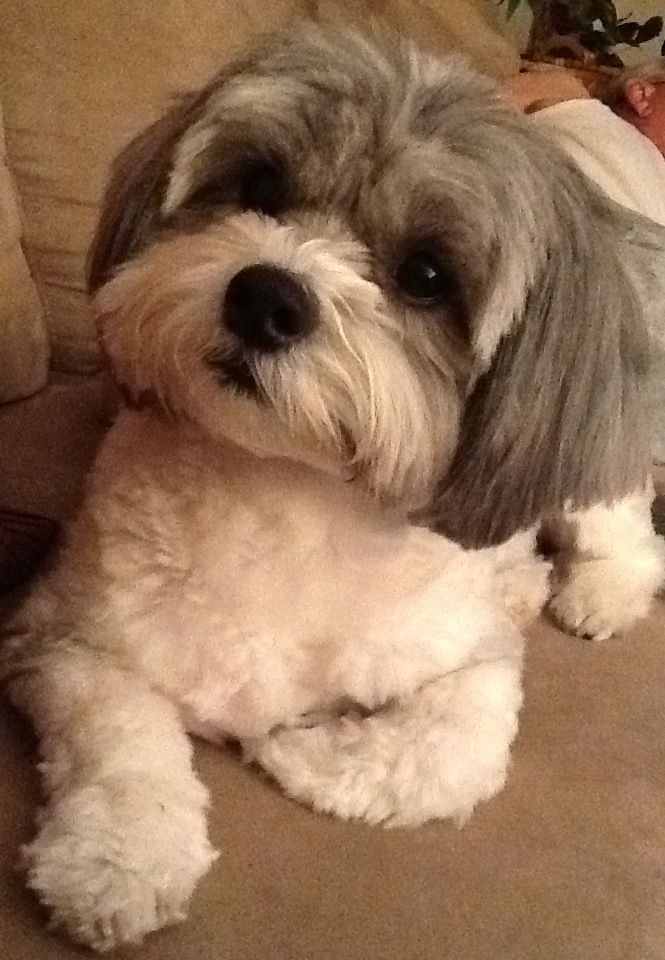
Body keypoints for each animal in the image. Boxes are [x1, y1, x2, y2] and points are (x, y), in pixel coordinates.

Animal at [1, 22, 664, 952]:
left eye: (425, 275)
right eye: (259, 186)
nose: (265, 295)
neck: (287, 498)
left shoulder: (474, 664)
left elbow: (446, 754)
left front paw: (295, 745)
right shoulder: (66, 640)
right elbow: (122, 742)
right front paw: (119, 862)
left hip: (586, 478)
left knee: (624, 535)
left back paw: (591, 593)